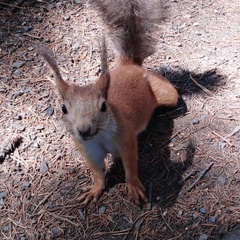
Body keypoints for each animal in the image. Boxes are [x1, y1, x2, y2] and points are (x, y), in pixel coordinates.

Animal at [39, 0, 178, 205]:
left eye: (103, 106)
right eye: (63, 108)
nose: (84, 130)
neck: (99, 136)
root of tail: (129, 66)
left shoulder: (126, 138)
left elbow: (131, 167)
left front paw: (134, 187)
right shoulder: (88, 150)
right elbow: (97, 172)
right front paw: (95, 189)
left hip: (166, 94)